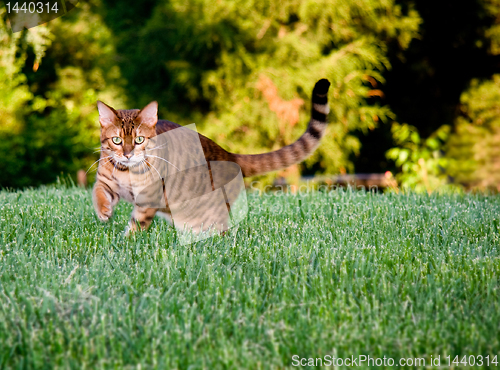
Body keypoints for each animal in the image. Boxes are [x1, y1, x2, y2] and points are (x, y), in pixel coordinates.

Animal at [94, 79, 330, 234]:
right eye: (117, 140)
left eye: (140, 140)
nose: (127, 154)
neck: (125, 171)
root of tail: (229, 154)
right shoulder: (106, 181)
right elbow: (98, 193)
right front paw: (104, 212)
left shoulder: (150, 196)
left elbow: (138, 223)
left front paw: (128, 240)